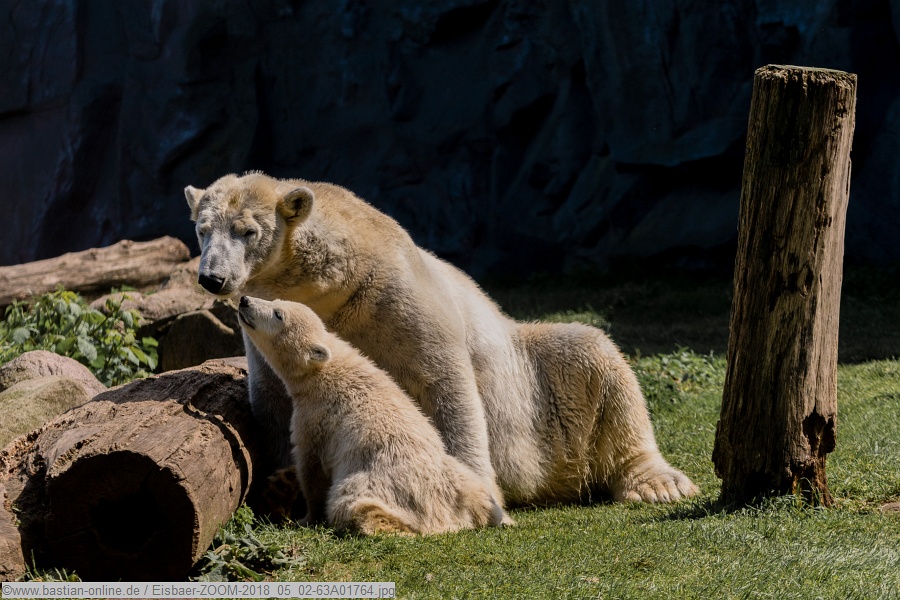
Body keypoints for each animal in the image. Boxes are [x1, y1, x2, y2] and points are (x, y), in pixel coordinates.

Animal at [185, 172, 698, 506]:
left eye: (247, 231)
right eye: (202, 229)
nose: (212, 278)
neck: (333, 281)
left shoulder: (393, 296)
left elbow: (444, 381)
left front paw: (474, 486)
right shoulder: (266, 328)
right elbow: (273, 399)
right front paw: (282, 482)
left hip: (541, 393)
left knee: (591, 355)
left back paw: (657, 482)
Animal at [237, 295, 509, 534]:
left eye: (278, 314)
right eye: (274, 301)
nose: (245, 300)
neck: (327, 371)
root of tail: (444, 518)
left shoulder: (316, 418)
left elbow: (311, 466)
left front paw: (304, 518)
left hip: (378, 481)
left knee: (349, 501)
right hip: (454, 475)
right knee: (475, 487)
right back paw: (499, 516)